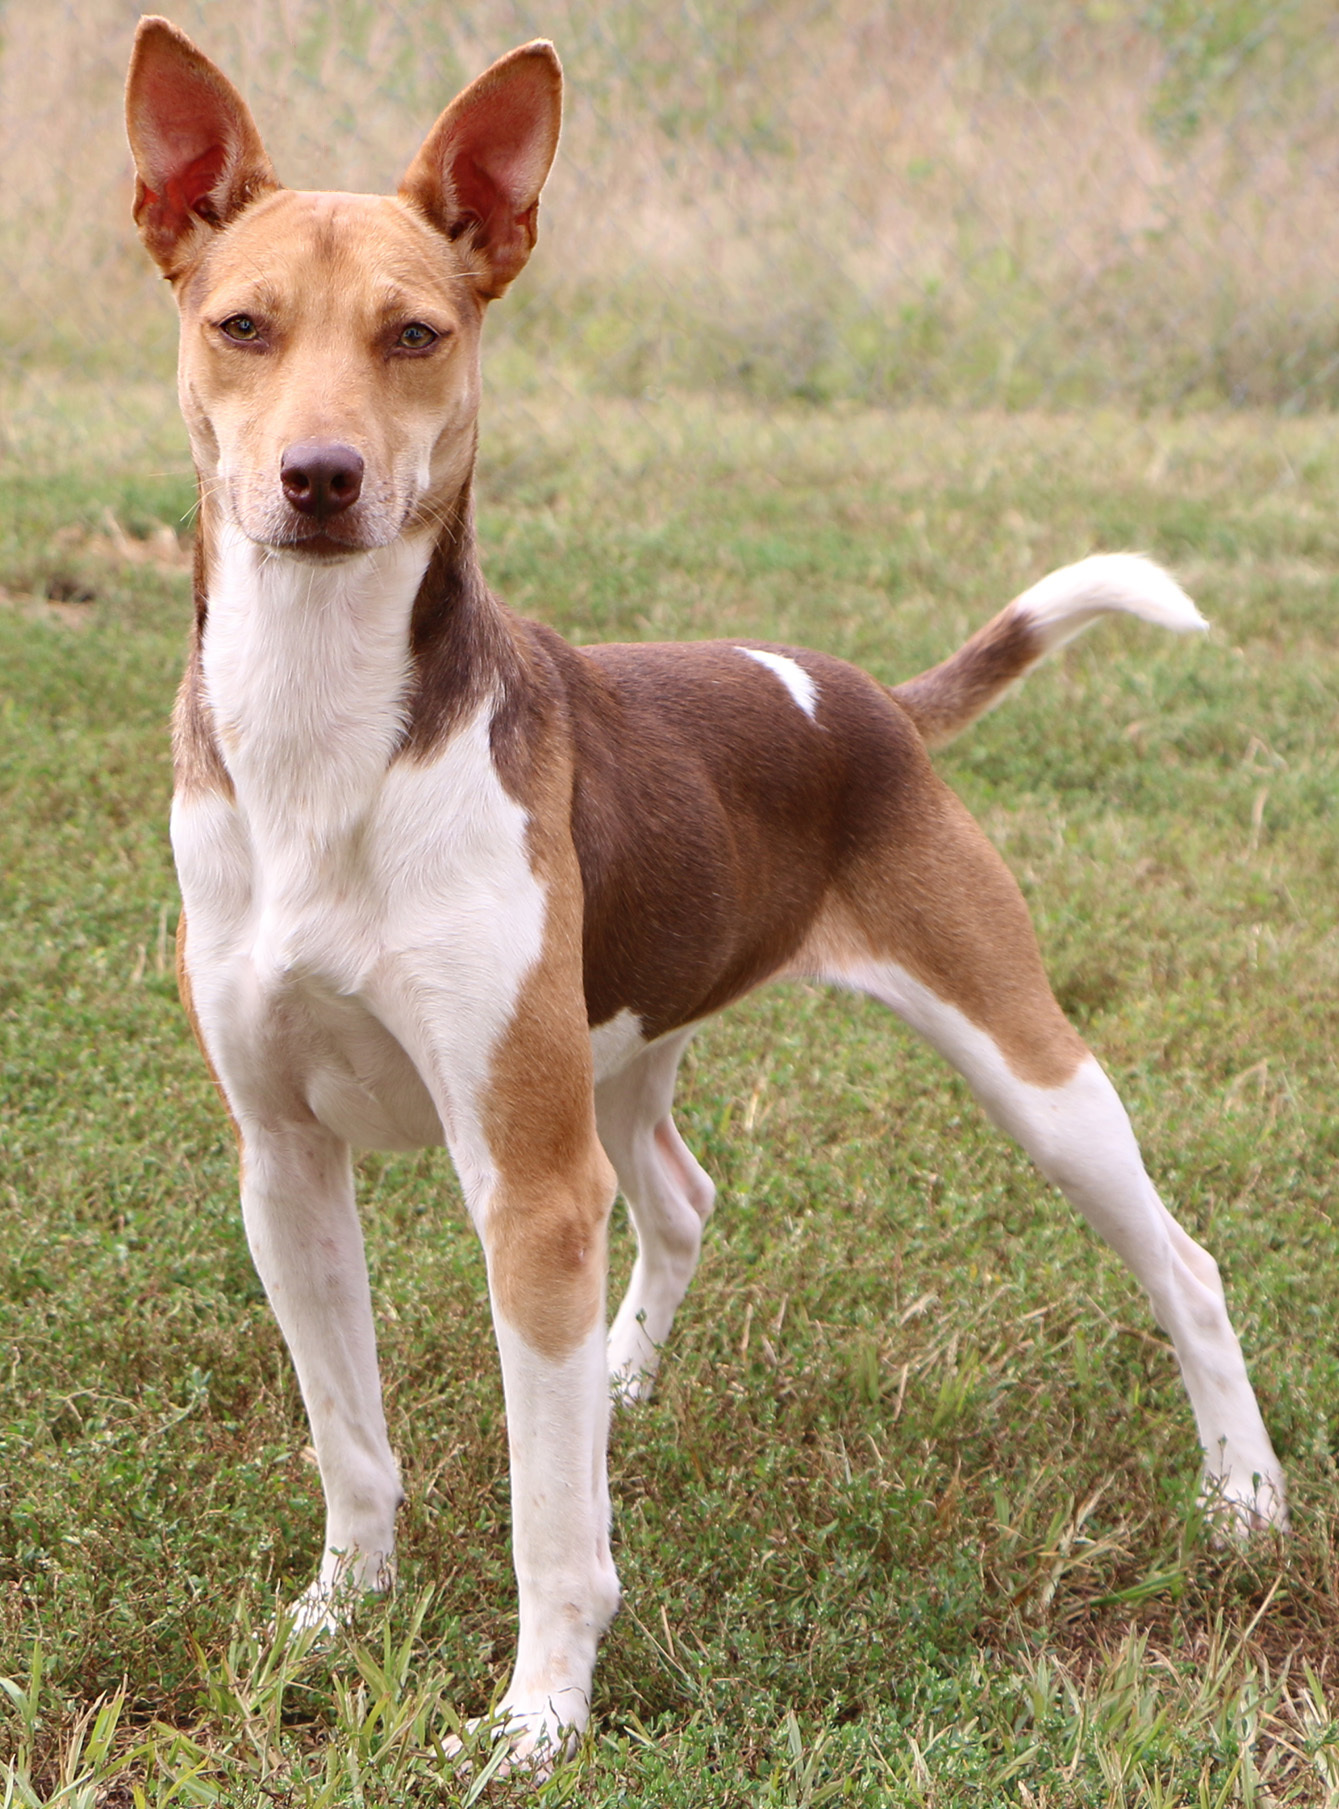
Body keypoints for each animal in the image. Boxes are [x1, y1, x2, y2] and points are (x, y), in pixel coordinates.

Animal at [125, 14, 1288, 1765]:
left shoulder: (528, 1186)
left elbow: (550, 1516)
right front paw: (340, 1612)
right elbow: (349, 1436)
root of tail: (863, 697)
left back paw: (1242, 1497)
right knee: (678, 1195)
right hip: (622, 1040)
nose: (318, 478)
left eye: (416, 333)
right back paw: (617, 1376)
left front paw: (537, 1716)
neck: (328, 737)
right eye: (238, 327)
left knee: (1183, 1264)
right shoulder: (284, 1158)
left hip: (1022, 1064)